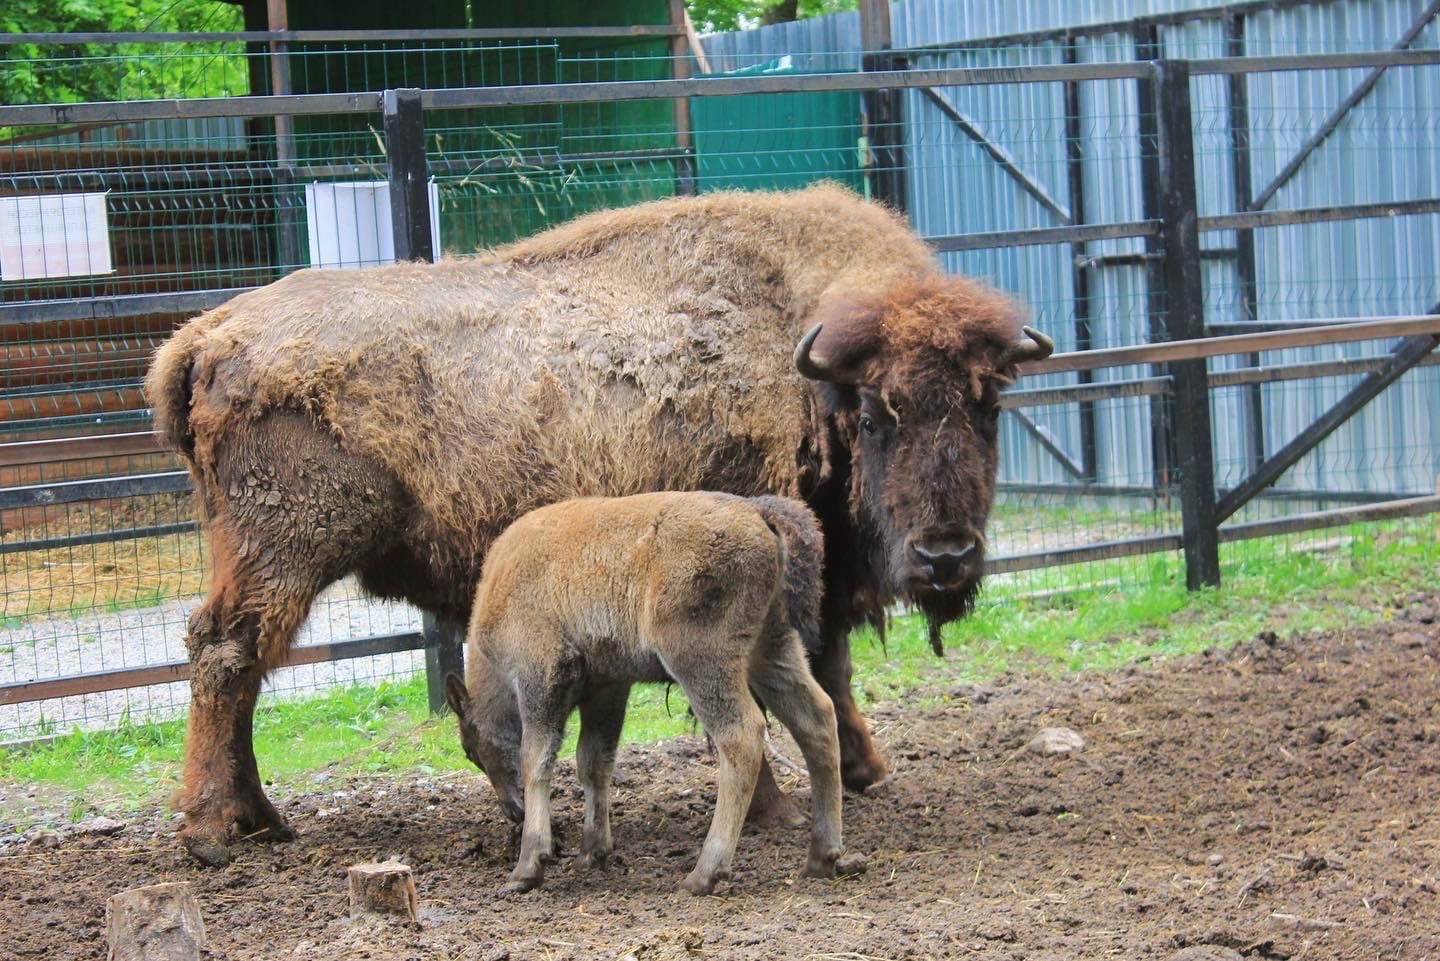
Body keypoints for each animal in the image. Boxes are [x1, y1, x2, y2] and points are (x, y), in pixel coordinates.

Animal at [443, 492, 840, 899]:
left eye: (470, 750)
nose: (513, 810)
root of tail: (758, 514)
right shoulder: (607, 688)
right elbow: (593, 762)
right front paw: (592, 852)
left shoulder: (541, 675)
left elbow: (535, 760)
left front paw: (528, 867)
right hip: (773, 646)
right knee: (817, 718)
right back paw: (822, 856)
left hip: (701, 660)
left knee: (741, 735)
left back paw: (704, 873)